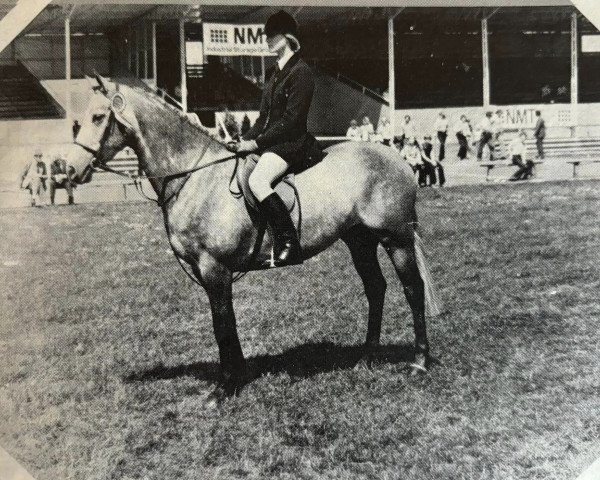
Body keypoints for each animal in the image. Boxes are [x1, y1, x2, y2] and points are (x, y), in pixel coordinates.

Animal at [70, 76, 442, 404]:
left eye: (98, 117)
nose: (70, 170)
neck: (195, 176)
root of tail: (399, 159)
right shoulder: (212, 273)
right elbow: (228, 322)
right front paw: (238, 378)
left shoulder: (214, 268)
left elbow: (221, 325)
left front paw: (223, 388)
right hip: (359, 241)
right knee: (376, 289)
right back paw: (366, 358)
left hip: (396, 239)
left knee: (412, 290)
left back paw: (419, 361)